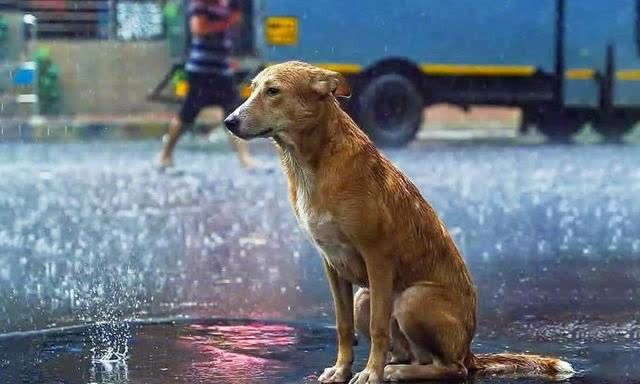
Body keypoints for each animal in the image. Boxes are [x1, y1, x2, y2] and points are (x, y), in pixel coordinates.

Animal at [224, 60, 576, 384]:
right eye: (252, 88)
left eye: (273, 91)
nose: (229, 122)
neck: (310, 163)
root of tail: (469, 350)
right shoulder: (332, 264)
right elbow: (342, 325)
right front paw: (341, 370)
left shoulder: (377, 257)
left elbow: (379, 326)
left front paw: (370, 374)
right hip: (364, 298)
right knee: (412, 354)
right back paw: (397, 366)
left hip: (411, 299)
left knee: (451, 367)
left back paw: (394, 371)